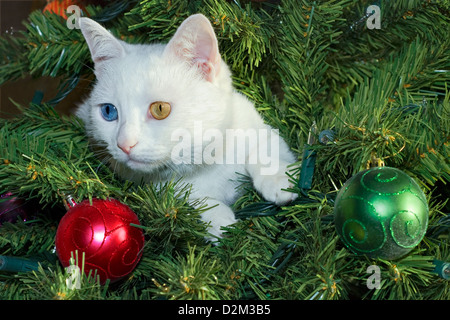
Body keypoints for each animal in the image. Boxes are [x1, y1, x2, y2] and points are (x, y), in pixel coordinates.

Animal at [75, 14, 298, 240]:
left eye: (160, 109)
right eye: (109, 111)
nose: (124, 144)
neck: (206, 163)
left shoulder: (249, 120)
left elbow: (265, 145)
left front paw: (277, 177)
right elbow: (183, 198)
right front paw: (216, 217)